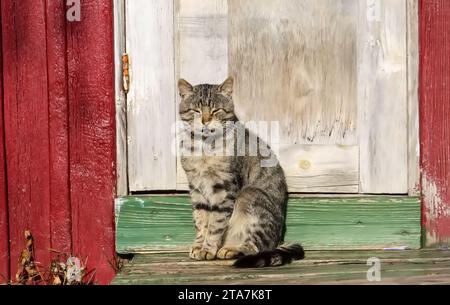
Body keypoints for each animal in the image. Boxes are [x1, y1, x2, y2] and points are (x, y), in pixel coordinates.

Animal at [178, 76, 304, 266]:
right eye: (196, 110)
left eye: (216, 110)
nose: (205, 120)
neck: (203, 147)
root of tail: (279, 240)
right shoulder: (196, 188)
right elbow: (200, 220)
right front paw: (199, 246)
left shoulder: (224, 188)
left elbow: (215, 224)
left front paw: (208, 249)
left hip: (250, 194)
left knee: (256, 246)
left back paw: (231, 249)